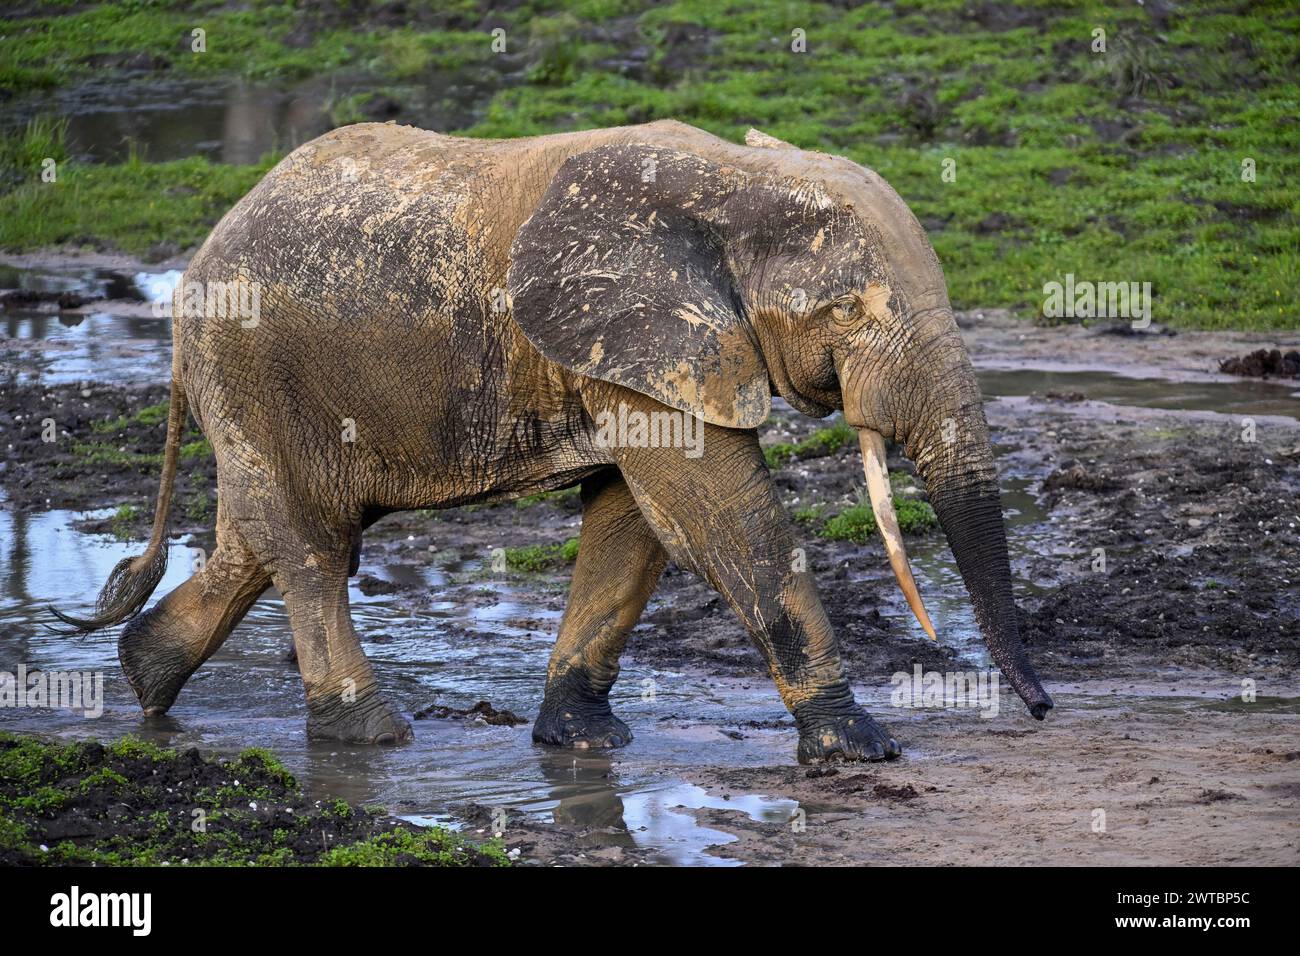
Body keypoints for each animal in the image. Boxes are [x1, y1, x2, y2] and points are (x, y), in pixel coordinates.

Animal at [55, 119, 1055, 764]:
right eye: (847, 311)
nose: (1042, 708)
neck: (735, 180)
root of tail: (200, 257)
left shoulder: (634, 354)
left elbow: (636, 521)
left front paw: (580, 740)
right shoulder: (640, 332)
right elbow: (716, 514)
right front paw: (860, 750)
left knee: (261, 540)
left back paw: (145, 678)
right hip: (252, 365)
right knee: (309, 546)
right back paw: (370, 734)